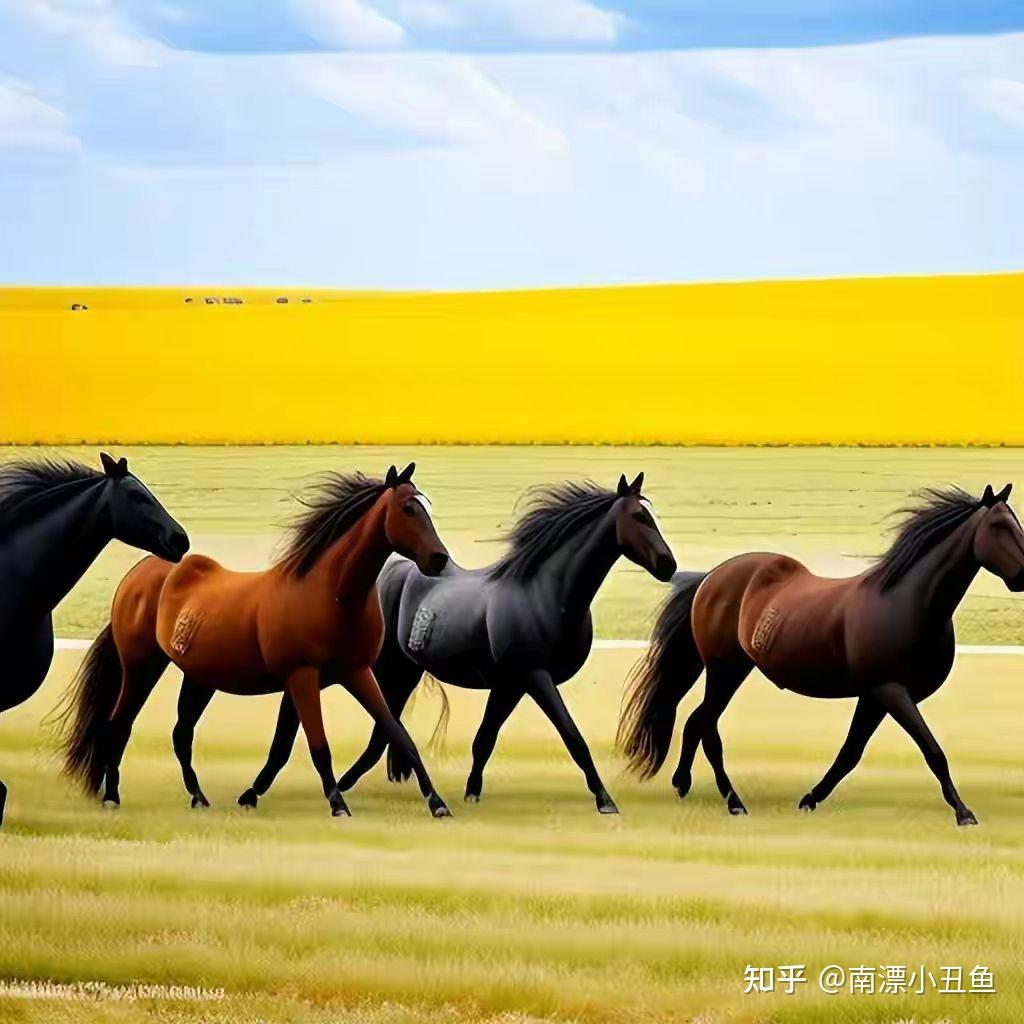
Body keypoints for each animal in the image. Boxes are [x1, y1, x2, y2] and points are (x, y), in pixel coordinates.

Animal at [55, 463, 455, 819]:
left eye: (428, 506)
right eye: (408, 508)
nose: (439, 559)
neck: (330, 593)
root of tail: (136, 577)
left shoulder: (353, 674)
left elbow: (395, 736)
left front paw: (438, 803)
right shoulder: (302, 677)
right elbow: (317, 745)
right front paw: (337, 804)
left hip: (199, 678)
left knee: (181, 734)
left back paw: (198, 798)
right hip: (141, 666)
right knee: (118, 725)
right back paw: (112, 796)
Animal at [239, 473, 677, 815]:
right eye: (639, 516)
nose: (668, 565)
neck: (545, 593)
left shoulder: (511, 683)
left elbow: (485, 739)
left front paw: (471, 792)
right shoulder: (535, 676)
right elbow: (574, 737)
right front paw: (605, 800)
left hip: (402, 671)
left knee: (383, 729)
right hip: (376, 668)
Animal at [618, 484, 1024, 826]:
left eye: (1015, 521)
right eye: (999, 525)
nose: (1023, 575)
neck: (907, 603)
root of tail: (709, 579)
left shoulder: (874, 696)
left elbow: (851, 752)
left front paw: (810, 799)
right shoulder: (891, 691)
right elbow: (933, 751)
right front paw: (963, 812)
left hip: (735, 670)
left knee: (695, 722)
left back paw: (683, 783)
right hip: (724, 669)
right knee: (707, 728)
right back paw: (733, 802)